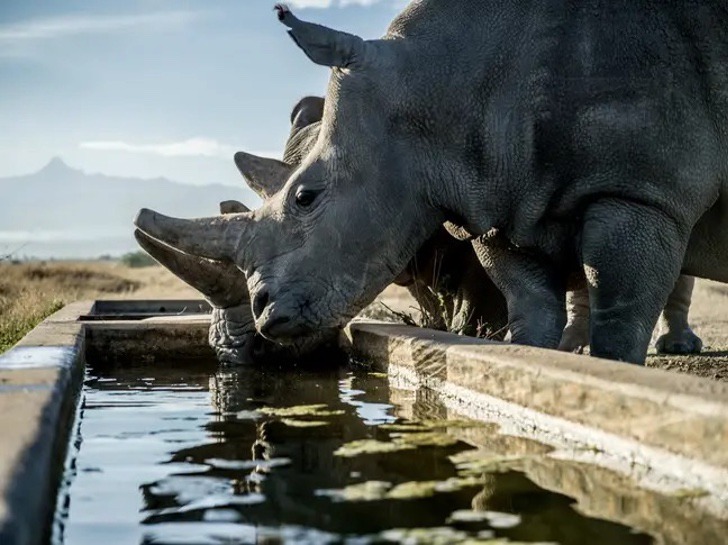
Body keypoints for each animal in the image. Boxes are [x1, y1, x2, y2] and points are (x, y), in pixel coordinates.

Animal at [138, 1, 728, 366]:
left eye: (306, 198)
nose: (258, 326)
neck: (440, 86)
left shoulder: (641, 190)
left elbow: (619, 311)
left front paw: (607, 368)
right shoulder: (500, 201)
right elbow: (528, 307)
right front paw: (533, 356)